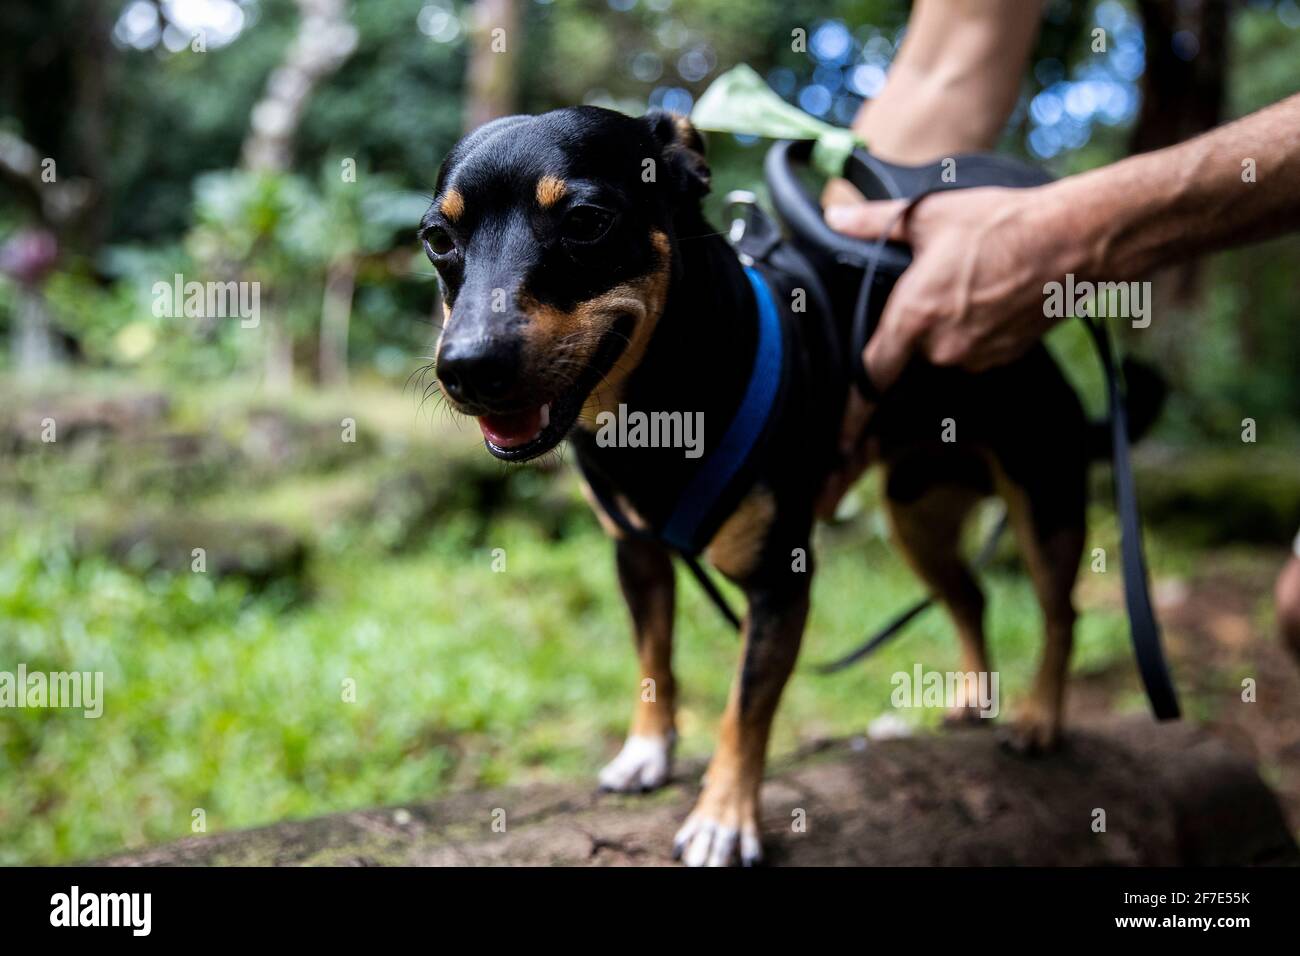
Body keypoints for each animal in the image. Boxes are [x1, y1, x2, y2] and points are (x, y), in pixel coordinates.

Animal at [423, 104, 1138, 868]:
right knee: (969, 596)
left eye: (587, 220)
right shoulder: (636, 556)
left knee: (1061, 612)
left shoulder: (780, 582)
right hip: (916, 514)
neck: (654, 414)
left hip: (1045, 499)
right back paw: (975, 697)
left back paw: (1040, 718)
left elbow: (744, 708)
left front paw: (723, 818)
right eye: (436, 239)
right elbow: (654, 659)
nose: (466, 367)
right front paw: (647, 752)